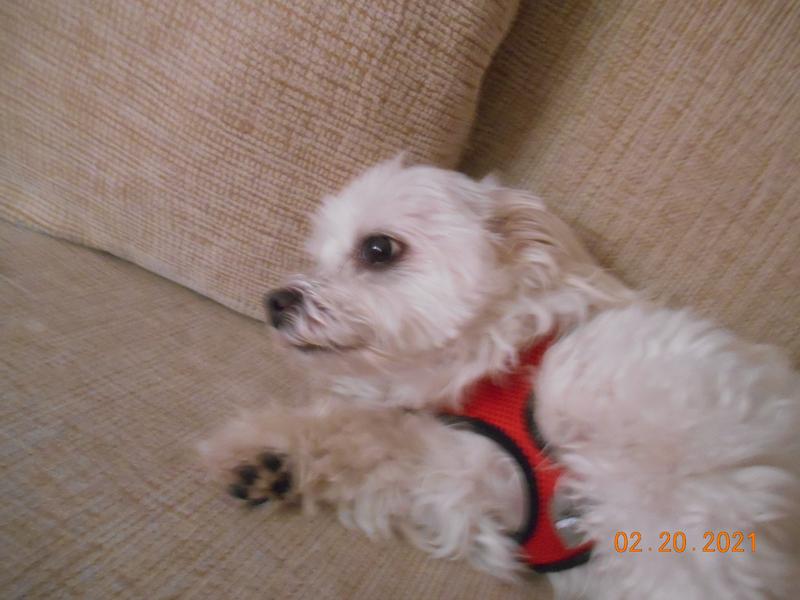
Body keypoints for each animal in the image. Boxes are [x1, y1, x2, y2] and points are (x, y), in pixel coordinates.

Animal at [200, 156, 800, 599]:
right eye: (317, 256)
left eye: (377, 248)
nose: (274, 302)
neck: (510, 365)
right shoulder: (476, 480)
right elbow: (375, 440)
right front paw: (267, 455)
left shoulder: (698, 485)